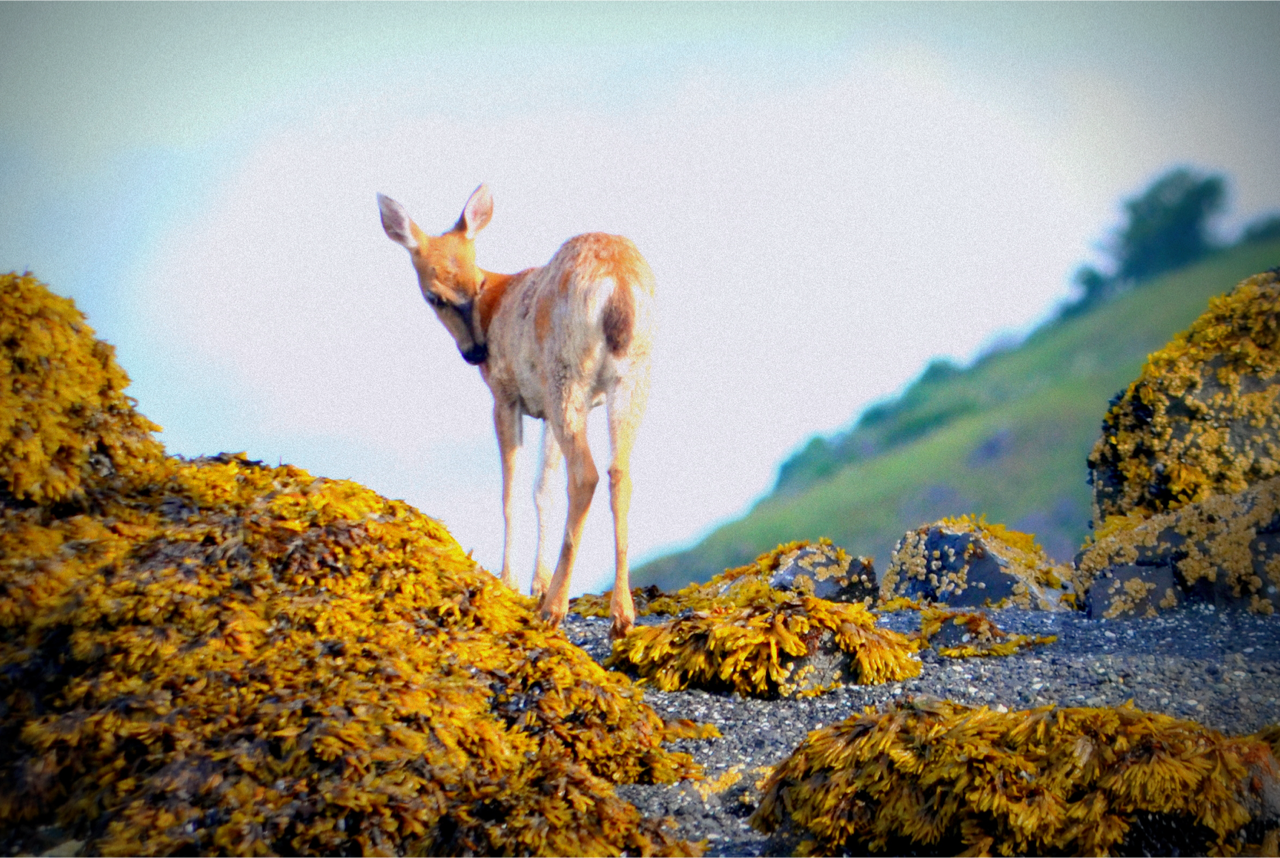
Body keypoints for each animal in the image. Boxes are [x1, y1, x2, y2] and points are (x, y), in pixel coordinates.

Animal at [378, 184, 654, 638]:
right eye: (436, 296)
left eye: (476, 284)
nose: (476, 352)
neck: (497, 297)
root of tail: (616, 285)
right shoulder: (542, 408)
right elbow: (542, 488)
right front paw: (536, 584)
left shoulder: (506, 396)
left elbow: (510, 489)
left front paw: (510, 582)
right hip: (631, 377)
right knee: (620, 473)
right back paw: (621, 613)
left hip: (566, 372)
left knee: (586, 474)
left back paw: (556, 609)